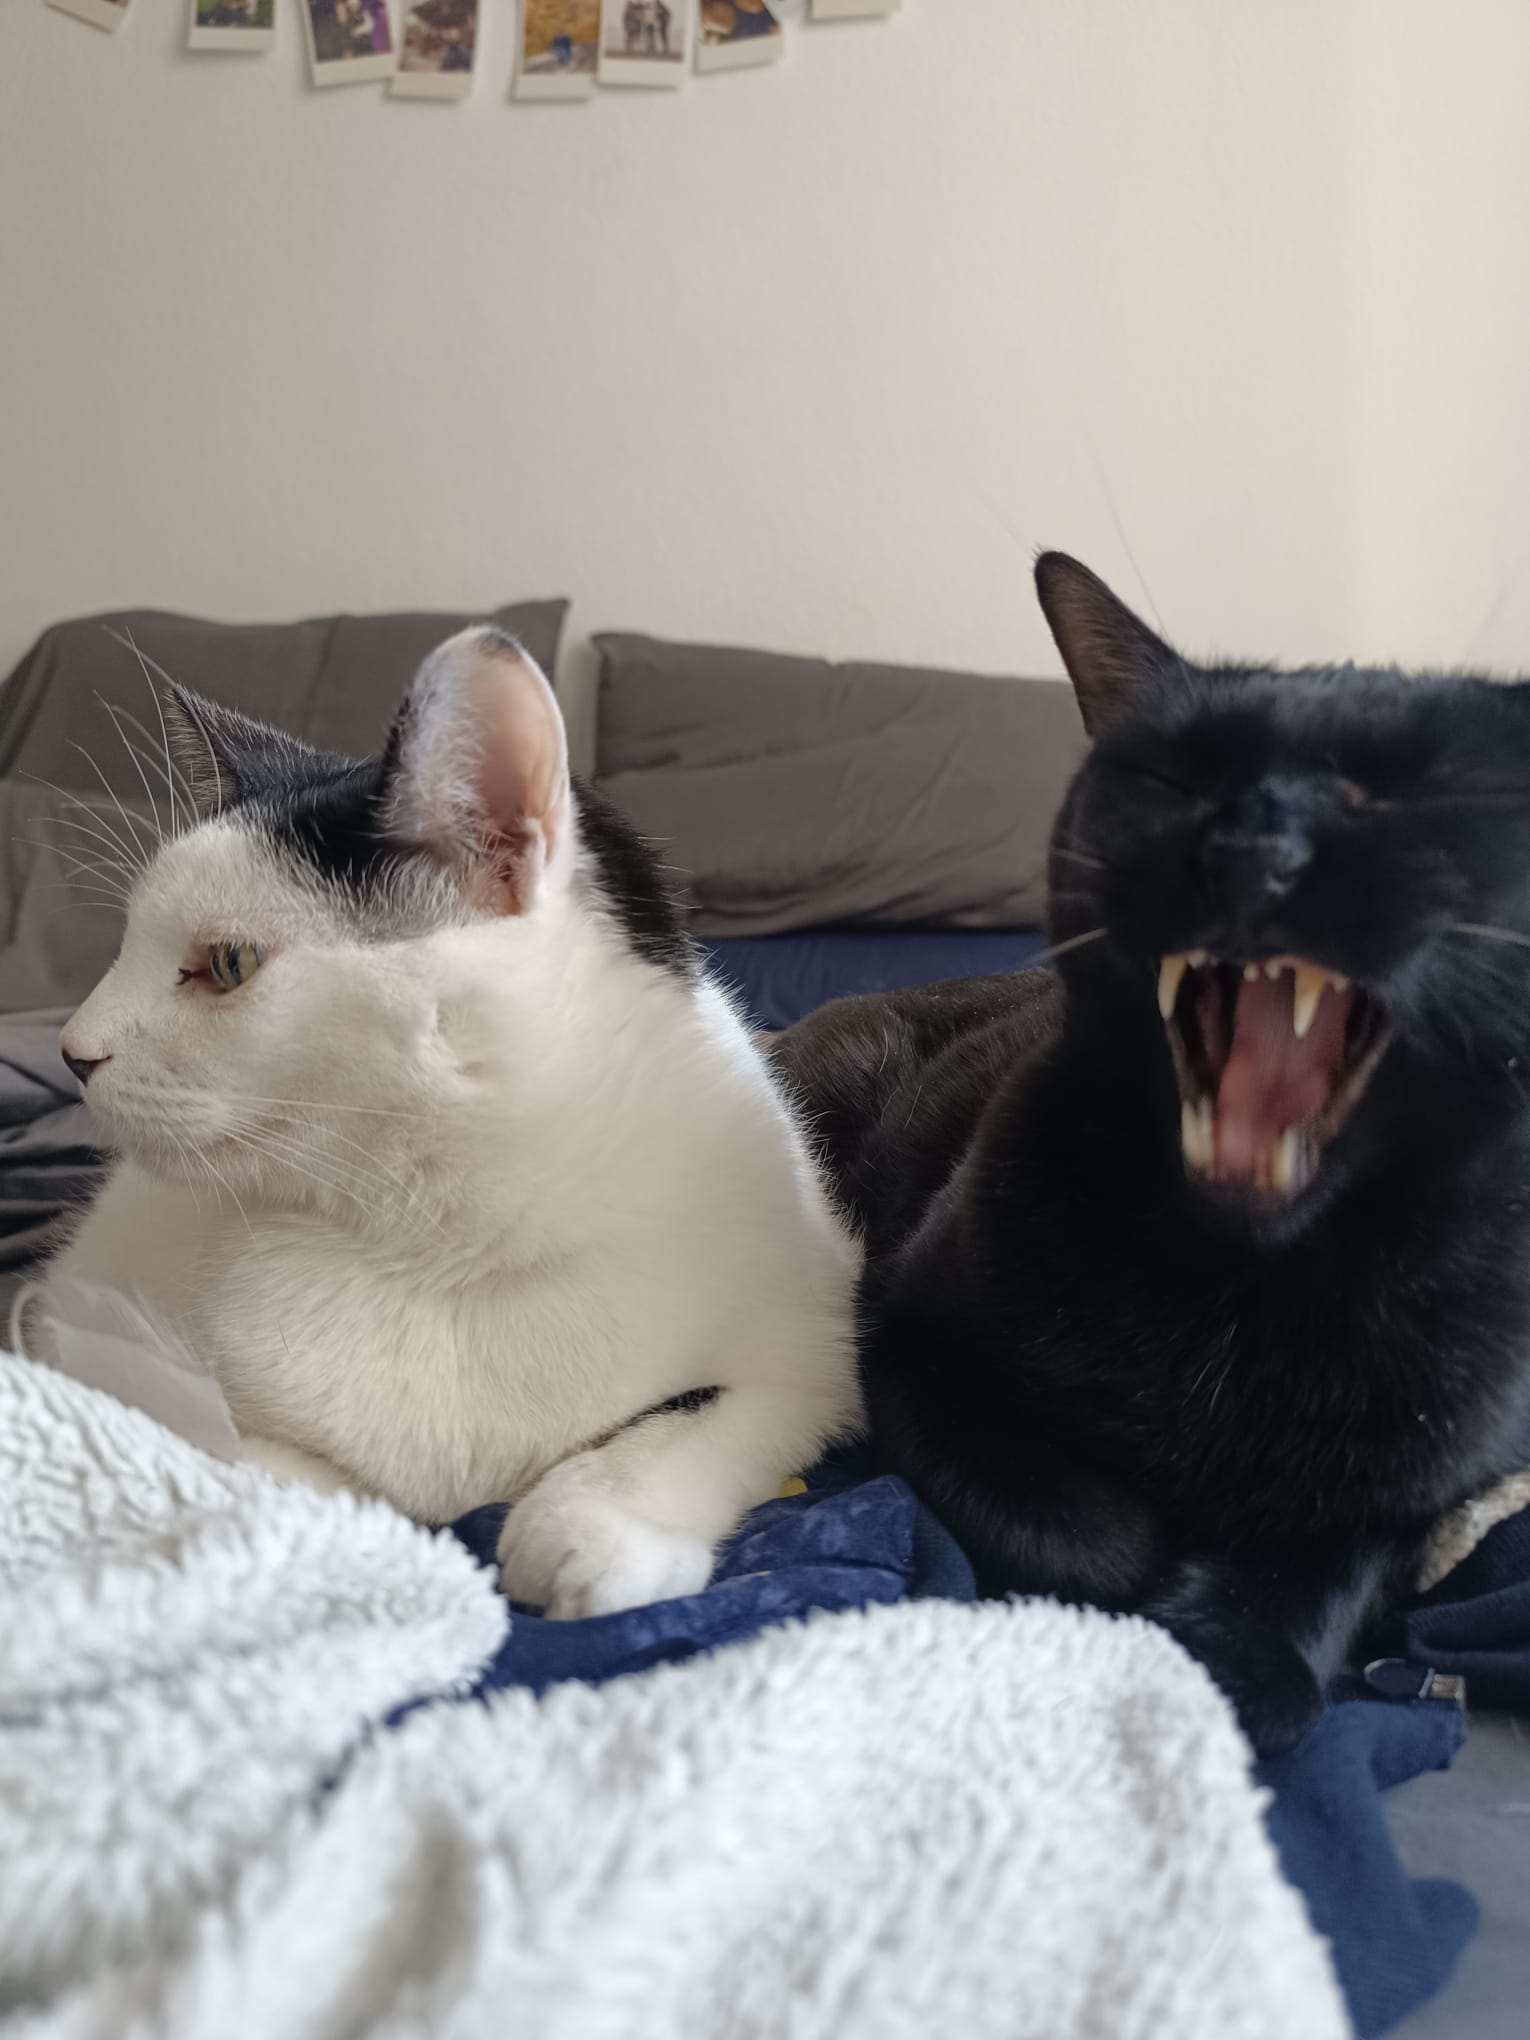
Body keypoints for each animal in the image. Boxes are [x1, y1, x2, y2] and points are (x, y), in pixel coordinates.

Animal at [27, 626, 860, 1619]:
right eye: (123, 946)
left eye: (228, 964)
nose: (73, 1051)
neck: (436, 1236)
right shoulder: (98, 1346)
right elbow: (241, 1459)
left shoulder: (818, 1335)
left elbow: (703, 1414)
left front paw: (591, 1528)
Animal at [771, 552, 1530, 1755]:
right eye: (1172, 778)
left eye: (1415, 792)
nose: (1253, 848)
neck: (1243, 1297)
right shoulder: (903, 1340)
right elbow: (1084, 1536)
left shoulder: (1430, 1478)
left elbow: (1338, 1554)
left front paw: (1239, 1649)